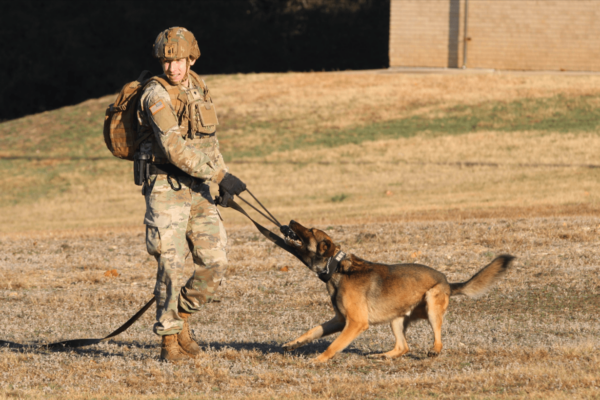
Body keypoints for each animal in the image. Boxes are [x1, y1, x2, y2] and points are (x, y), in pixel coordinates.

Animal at [284, 220, 512, 364]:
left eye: (310, 230)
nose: (291, 221)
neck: (337, 268)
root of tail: (447, 282)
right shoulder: (340, 320)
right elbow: (313, 331)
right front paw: (292, 344)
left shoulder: (356, 323)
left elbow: (333, 345)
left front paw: (318, 360)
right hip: (396, 318)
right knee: (403, 347)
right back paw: (383, 356)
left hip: (431, 303)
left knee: (437, 338)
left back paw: (434, 350)